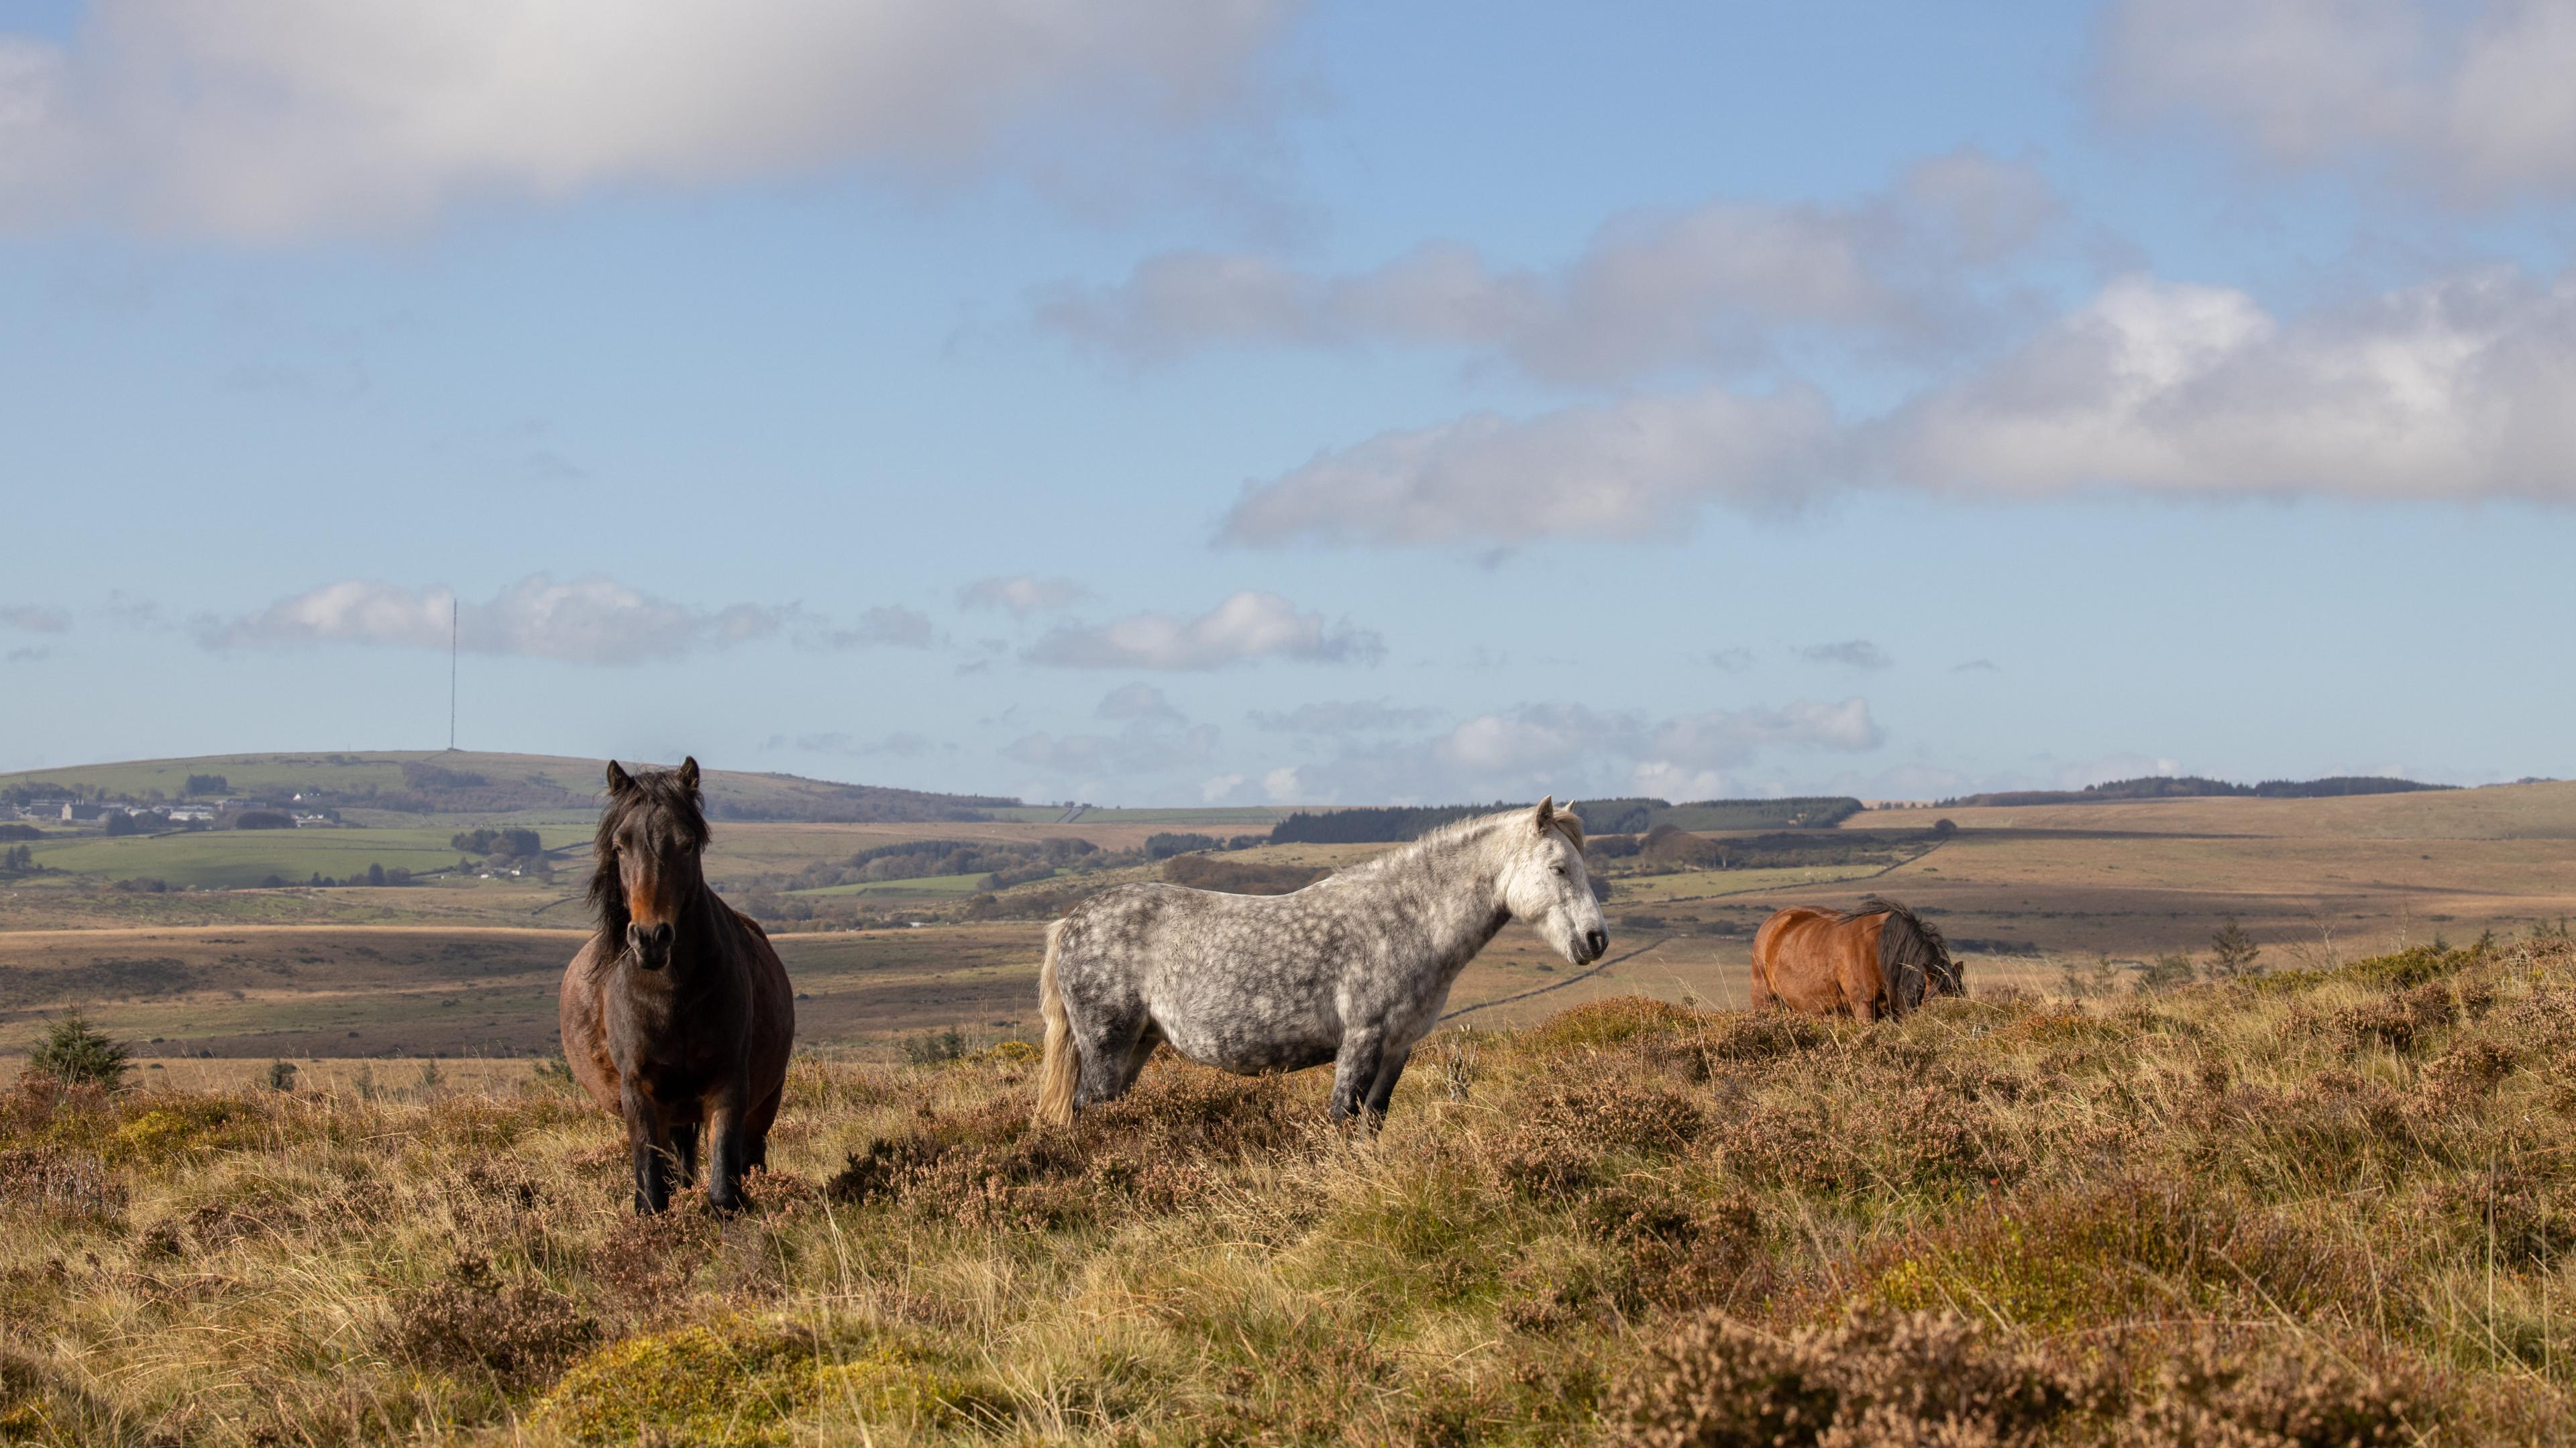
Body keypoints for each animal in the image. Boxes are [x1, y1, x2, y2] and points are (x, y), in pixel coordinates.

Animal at [561, 757, 793, 1205]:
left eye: (686, 844)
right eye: (620, 846)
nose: (651, 938)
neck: (671, 997)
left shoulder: (728, 1085)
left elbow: (723, 1190)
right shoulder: (641, 1095)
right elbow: (652, 1194)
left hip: (761, 1105)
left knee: (750, 1158)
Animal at [1030, 793, 1607, 1123]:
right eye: (1558, 867)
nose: (1597, 938)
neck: (1407, 920)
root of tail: (1070, 923)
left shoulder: (1397, 1049)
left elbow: (1372, 1124)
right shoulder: (1361, 1040)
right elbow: (1341, 1122)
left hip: (1140, 1043)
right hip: (1106, 1045)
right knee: (1089, 1111)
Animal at [1752, 891, 1968, 1015]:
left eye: (1962, 998)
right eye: (1933, 1003)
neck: (1880, 952)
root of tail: (1774, 922)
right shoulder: (1864, 1006)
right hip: (1766, 1001)